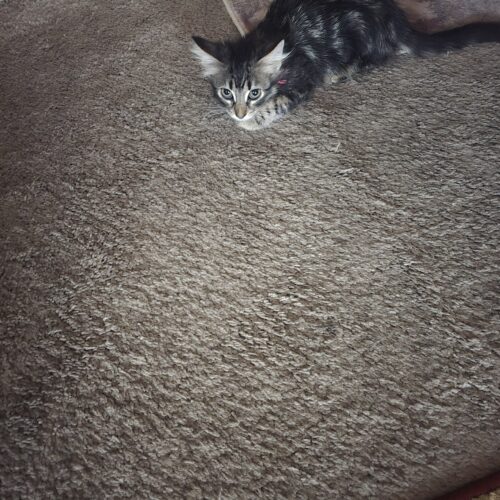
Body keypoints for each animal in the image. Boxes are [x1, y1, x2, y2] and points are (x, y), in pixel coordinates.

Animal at [192, 0, 500, 131]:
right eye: (226, 93)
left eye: (254, 93)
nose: (240, 112)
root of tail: (398, 21)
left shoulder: (305, 77)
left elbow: (279, 102)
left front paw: (252, 120)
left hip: (362, 33)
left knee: (378, 58)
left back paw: (341, 72)